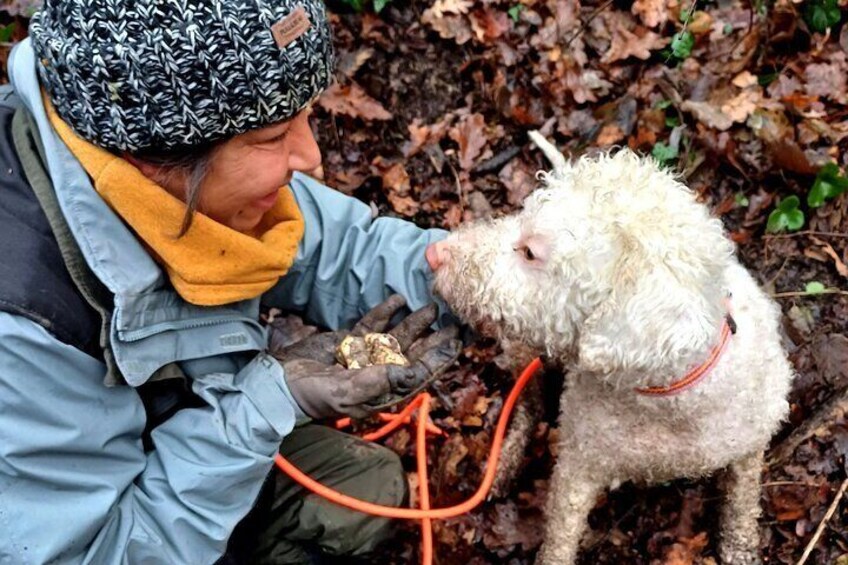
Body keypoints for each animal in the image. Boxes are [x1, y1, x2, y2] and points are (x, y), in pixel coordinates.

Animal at [430, 133, 796, 564]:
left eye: (531, 251)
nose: (435, 253)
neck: (665, 402)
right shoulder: (579, 464)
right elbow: (560, 534)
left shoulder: (749, 447)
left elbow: (741, 505)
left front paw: (741, 550)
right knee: (528, 403)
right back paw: (503, 466)